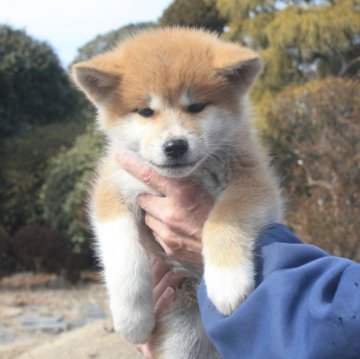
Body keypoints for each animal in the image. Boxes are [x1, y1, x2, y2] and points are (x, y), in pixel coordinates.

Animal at [71, 28, 284, 359]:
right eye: (145, 111)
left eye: (196, 106)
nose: (175, 146)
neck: (189, 176)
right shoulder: (112, 187)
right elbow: (124, 256)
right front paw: (132, 319)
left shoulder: (254, 182)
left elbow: (223, 219)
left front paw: (226, 280)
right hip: (181, 338)